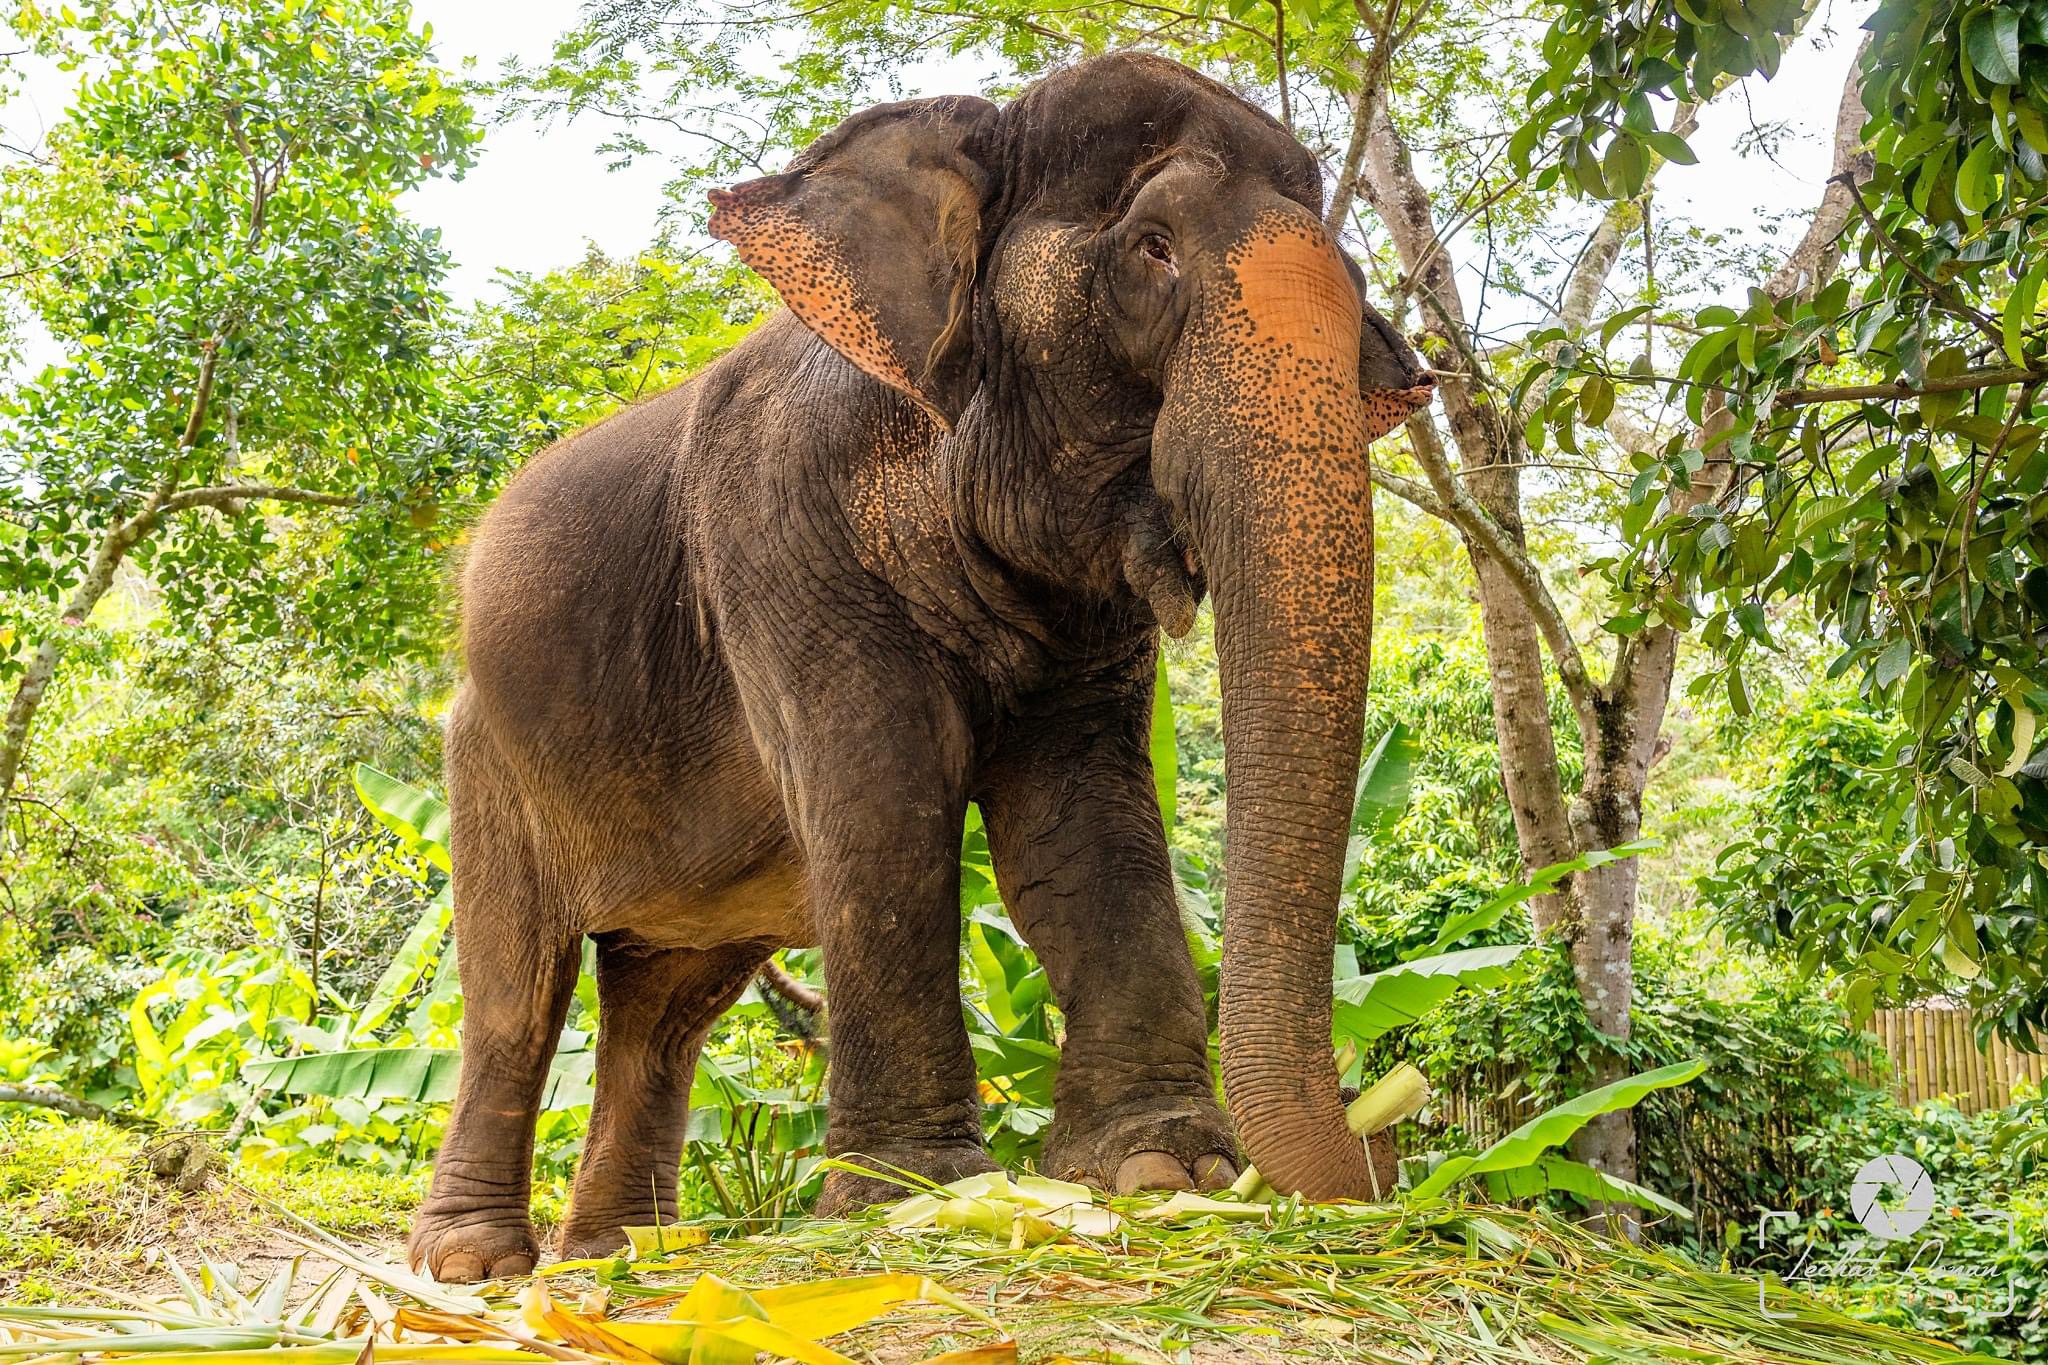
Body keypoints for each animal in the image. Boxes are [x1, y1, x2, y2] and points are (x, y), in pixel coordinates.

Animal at [405, 49, 1434, 1283]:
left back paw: (617, 1255)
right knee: (515, 989)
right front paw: (916, 1195)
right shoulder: (779, 538)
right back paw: (475, 1268)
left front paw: (1161, 1171)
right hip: (485, 764)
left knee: (664, 1010)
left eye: (1359, 280)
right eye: (1151, 249)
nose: (1392, 1143)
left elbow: (1083, 816)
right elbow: (883, 801)